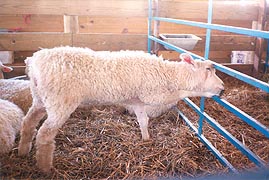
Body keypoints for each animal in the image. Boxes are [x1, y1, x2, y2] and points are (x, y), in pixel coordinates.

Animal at [17, 46, 223, 172]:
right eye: (208, 69)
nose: (222, 89)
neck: (170, 78)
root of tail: (34, 61)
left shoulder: (138, 101)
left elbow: (143, 121)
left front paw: (146, 140)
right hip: (60, 102)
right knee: (44, 134)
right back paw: (45, 168)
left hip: (40, 99)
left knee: (28, 122)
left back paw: (23, 151)